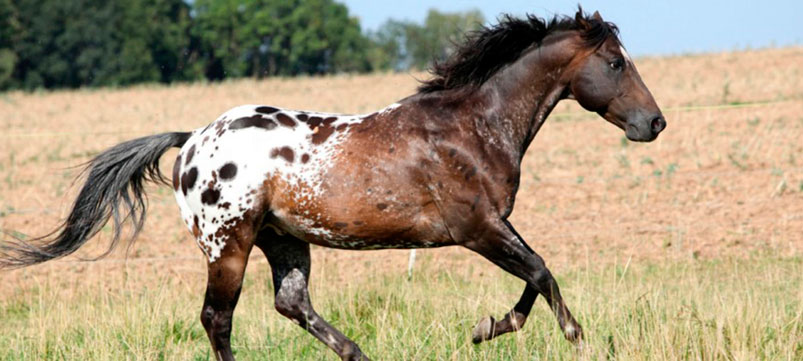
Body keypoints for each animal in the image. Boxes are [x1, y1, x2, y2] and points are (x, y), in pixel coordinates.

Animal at [0, 8, 664, 360]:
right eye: (614, 63)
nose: (653, 123)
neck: (473, 125)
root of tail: (191, 140)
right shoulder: (476, 227)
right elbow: (541, 271)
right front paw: (571, 336)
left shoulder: (491, 226)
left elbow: (534, 275)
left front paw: (486, 328)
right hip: (229, 242)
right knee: (218, 317)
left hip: (284, 239)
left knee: (291, 302)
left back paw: (359, 354)